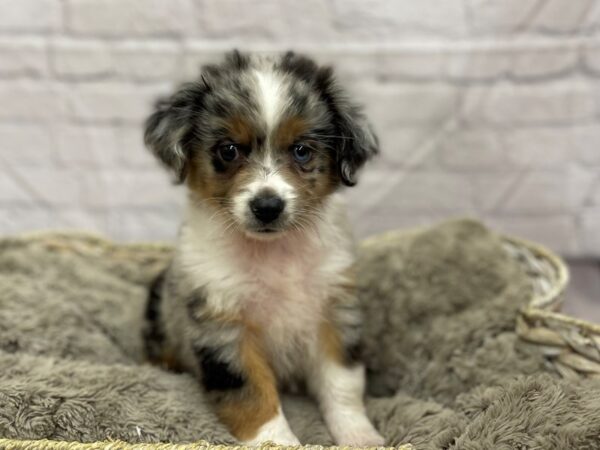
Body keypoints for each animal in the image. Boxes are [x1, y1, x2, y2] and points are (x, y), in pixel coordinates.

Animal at [143, 51, 382, 444]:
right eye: (228, 150)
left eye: (301, 151)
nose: (267, 206)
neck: (274, 254)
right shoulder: (223, 325)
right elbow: (252, 394)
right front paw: (279, 441)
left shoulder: (334, 310)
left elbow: (342, 382)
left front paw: (359, 436)